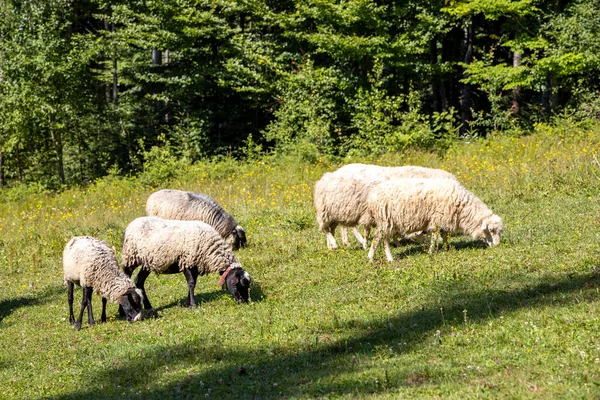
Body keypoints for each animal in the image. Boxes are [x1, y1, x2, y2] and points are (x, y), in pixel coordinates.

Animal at [120, 217, 252, 314]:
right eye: (240, 285)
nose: (244, 302)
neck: (210, 250)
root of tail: (130, 226)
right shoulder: (186, 261)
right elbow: (191, 283)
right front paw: (193, 305)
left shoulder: (195, 265)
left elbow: (193, 283)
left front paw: (188, 302)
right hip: (131, 257)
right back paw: (122, 311)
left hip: (147, 262)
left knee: (139, 281)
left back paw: (148, 307)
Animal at [366, 178, 502, 262]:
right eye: (491, 230)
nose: (497, 246)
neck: (463, 207)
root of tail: (372, 195)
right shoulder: (436, 220)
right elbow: (435, 238)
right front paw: (431, 252)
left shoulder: (444, 221)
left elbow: (445, 236)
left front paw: (447, 248)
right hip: (385, 220)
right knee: (377, 239)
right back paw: (375, 258)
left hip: (388, 223)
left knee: (384, 239)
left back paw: (386, 257)